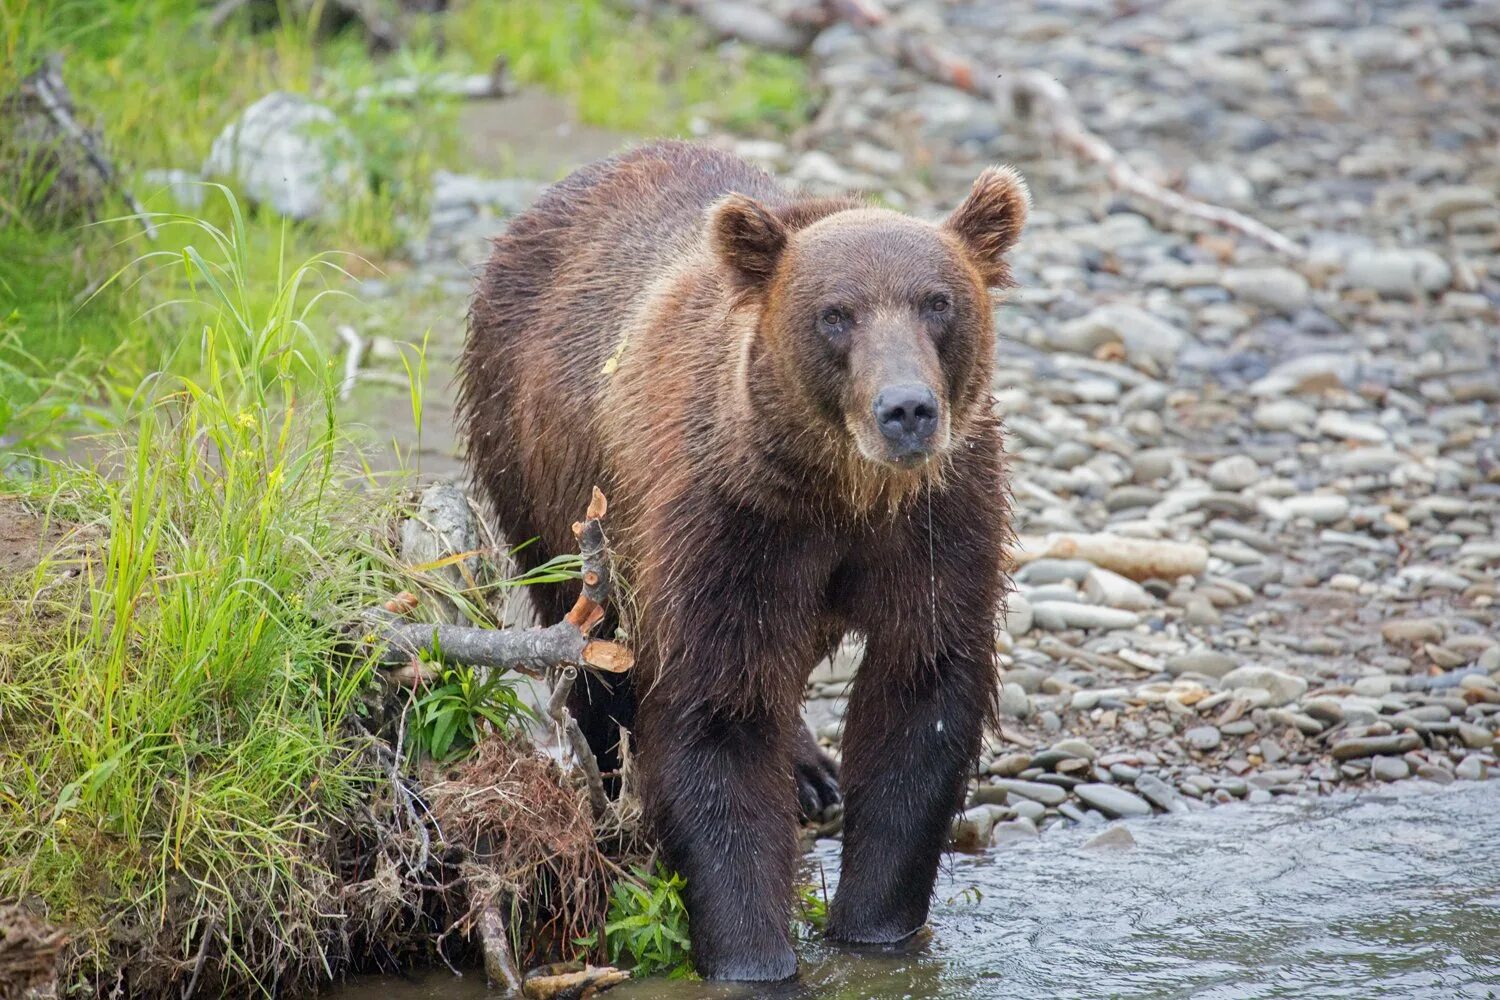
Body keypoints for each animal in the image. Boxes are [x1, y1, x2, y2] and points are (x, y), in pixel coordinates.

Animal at [456, 140, 1020, 983]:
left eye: (937, 302)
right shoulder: (729, 524)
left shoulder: (938, 521)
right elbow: (715, 710)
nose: (907, 409)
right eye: (835, 313)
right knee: (590, 644)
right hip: (539, 464)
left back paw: (811, 771)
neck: (841, 492)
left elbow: (922, 693)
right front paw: (754, 955)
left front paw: (875, 928)